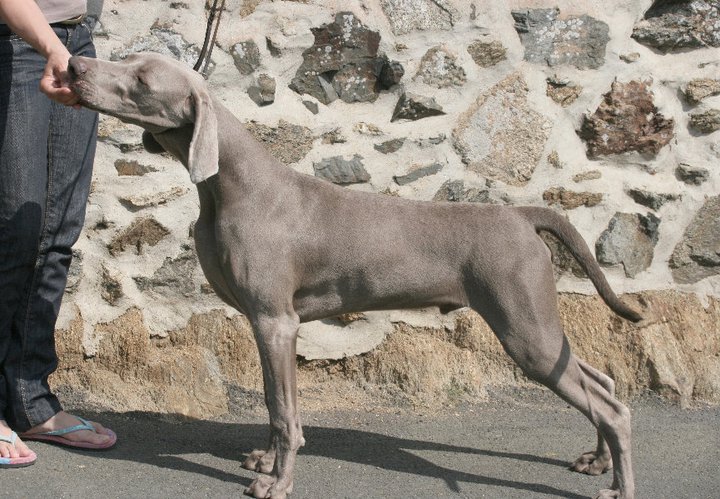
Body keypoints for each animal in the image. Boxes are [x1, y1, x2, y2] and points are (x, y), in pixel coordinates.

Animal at [68, 52, 641, 499]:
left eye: (143, 79)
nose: (74, 65)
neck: (230, 187)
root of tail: (521, 214)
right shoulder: (267, 323)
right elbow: (275, 404)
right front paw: (265, 460)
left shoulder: (275, 320)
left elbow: (284, 412)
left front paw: (277, 482)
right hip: (538, 327)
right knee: (603, 382)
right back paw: (597, 461)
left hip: (525, 329)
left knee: (612, 407)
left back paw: (619, 486)